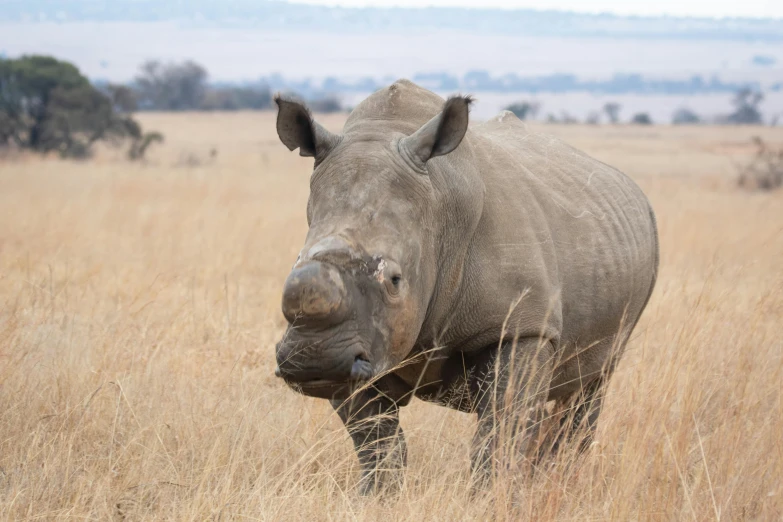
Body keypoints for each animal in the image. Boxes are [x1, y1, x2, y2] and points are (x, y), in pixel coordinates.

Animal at [272, 79, 660, 490]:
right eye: (295, 265)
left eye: (395, 281)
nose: (316, 359)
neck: (439, 209)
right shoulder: (363, 346)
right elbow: (377, 443)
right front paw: (375, 496)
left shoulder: (523, 327)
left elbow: (501, 432)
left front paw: (492, 497)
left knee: (588, 389)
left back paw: (558, 482)